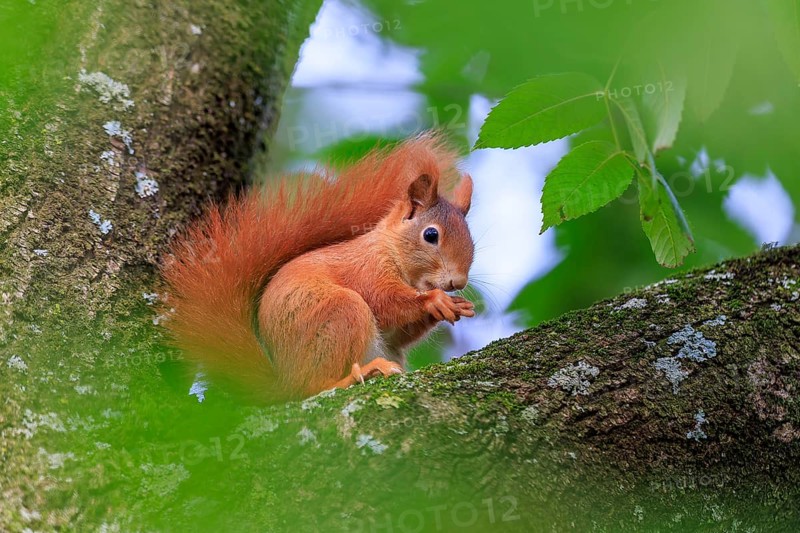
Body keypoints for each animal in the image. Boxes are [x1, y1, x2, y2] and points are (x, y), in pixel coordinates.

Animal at [160, 133, 475, 403]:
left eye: (470, 237)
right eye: (431, 235)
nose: (458, 282)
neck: (390, 250)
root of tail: (284, 381)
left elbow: (400, 332)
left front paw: (456, 306)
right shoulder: (367, 270)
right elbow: (385, 302)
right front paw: (434, 300)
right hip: (340, 313)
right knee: (313, 387)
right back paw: (359, 374)